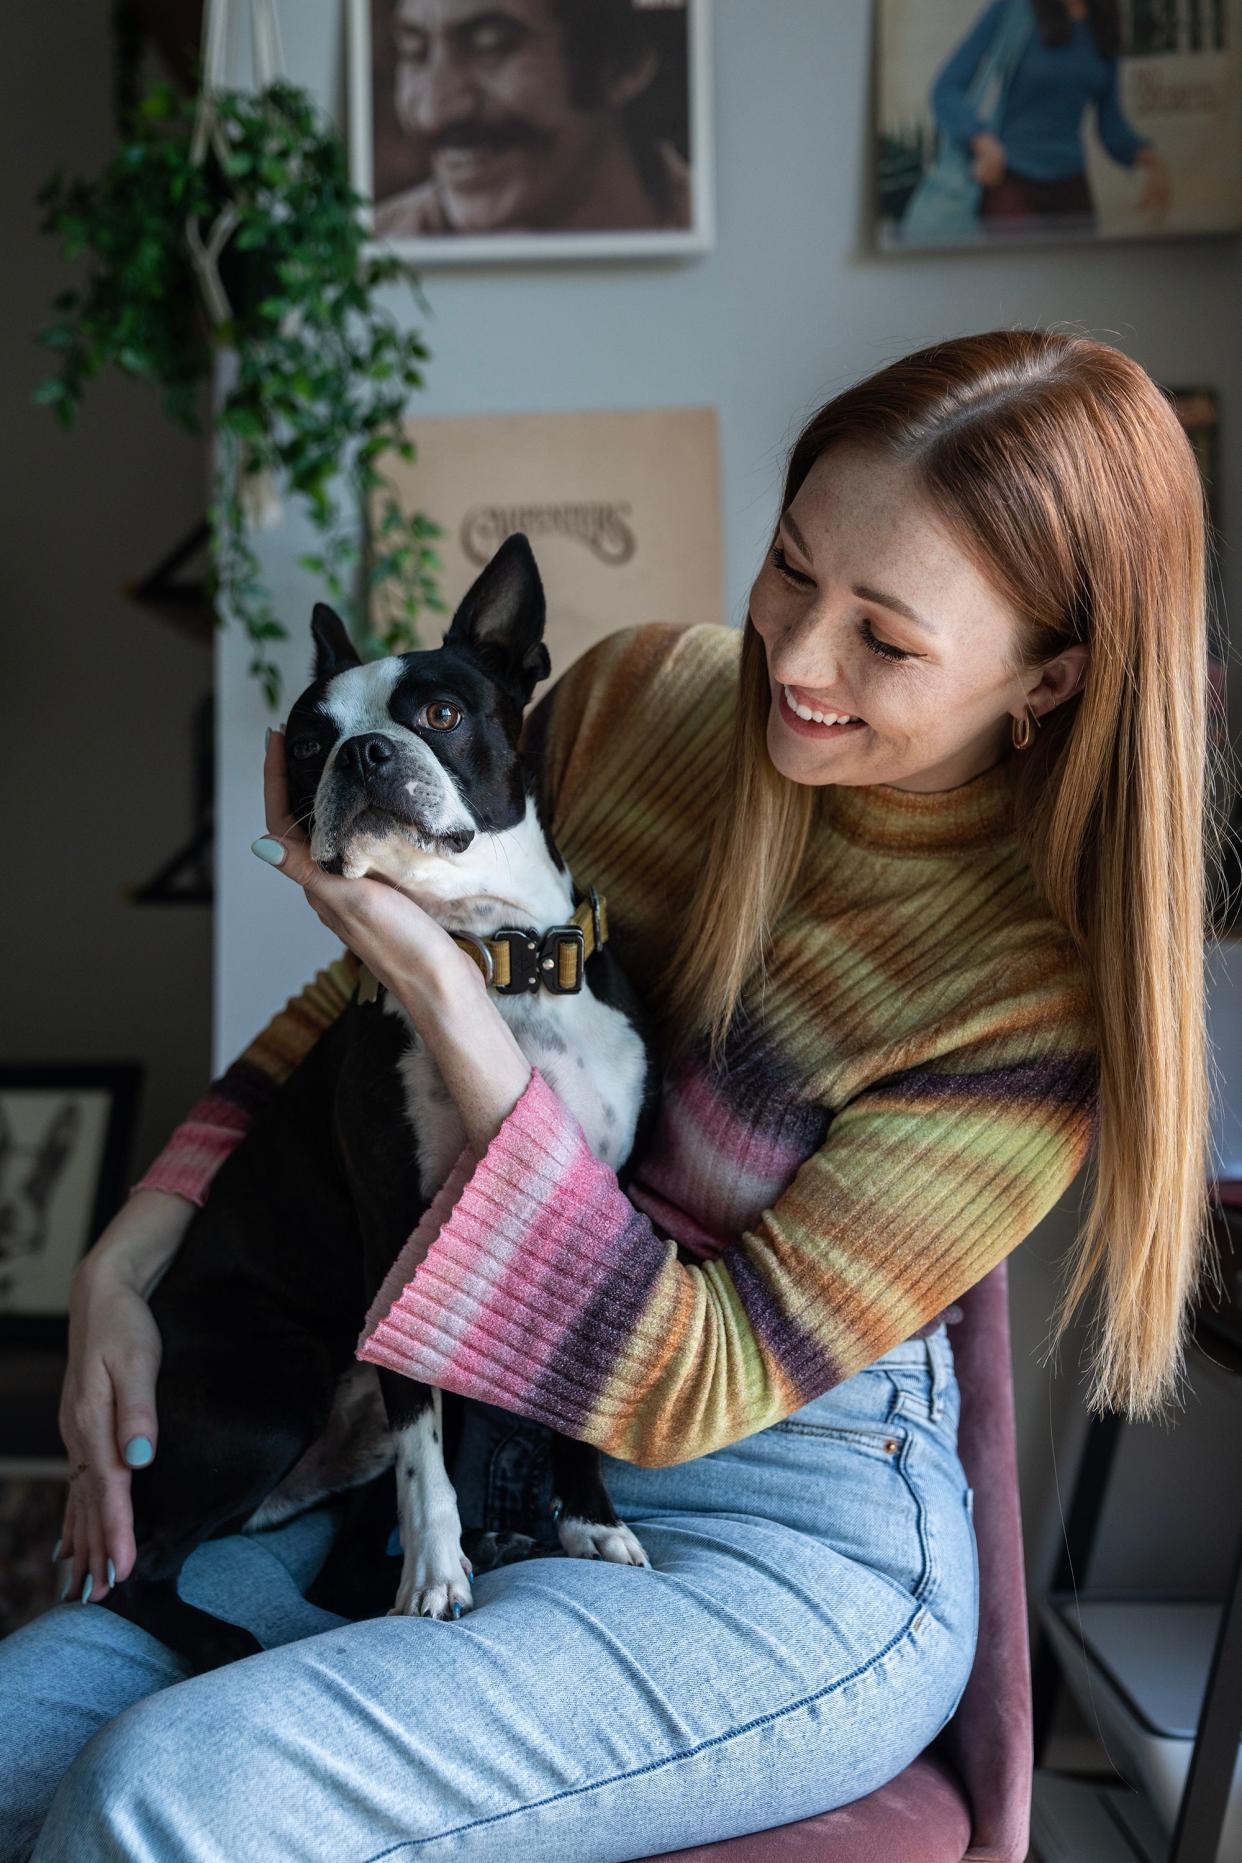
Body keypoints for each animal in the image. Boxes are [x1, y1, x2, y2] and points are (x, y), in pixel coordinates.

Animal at [101, 532, 659, 1669]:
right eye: (310, 741)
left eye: (438, 713)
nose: (362, 753)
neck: (493, 965)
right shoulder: (400, 1230)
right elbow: (421, 1453)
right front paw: (437, 1574)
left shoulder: (597, 1210)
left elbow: (574, 1390)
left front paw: (590, 1519)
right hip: (278, 1378)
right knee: (142, 1574)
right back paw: (233, 1638)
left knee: (332, 1569)